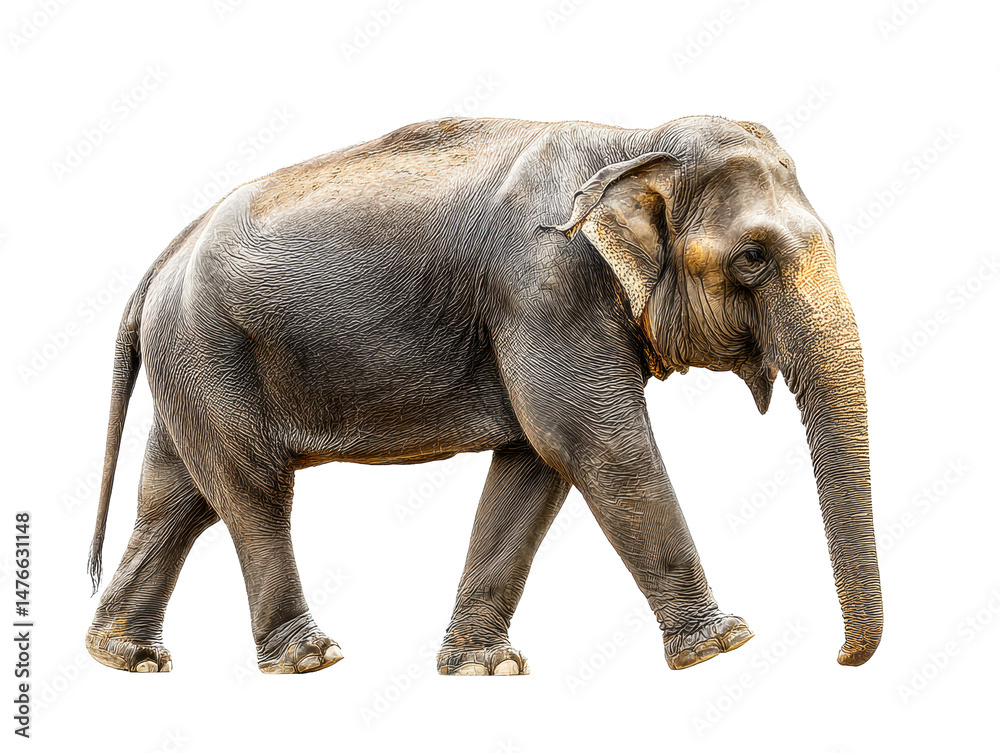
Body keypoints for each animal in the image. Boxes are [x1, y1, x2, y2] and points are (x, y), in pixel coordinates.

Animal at [85, 115, 882, 676]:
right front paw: (724, 645)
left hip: (190, 359)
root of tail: (163, 256)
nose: (842, 658)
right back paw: (310, 659)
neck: (634, 142)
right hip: (210, 347)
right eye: (752, 258)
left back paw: (126, 656)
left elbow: (535, 464)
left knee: (178, 495)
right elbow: (597, 445)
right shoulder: (544, 287)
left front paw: (484, 667)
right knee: (252, 488)